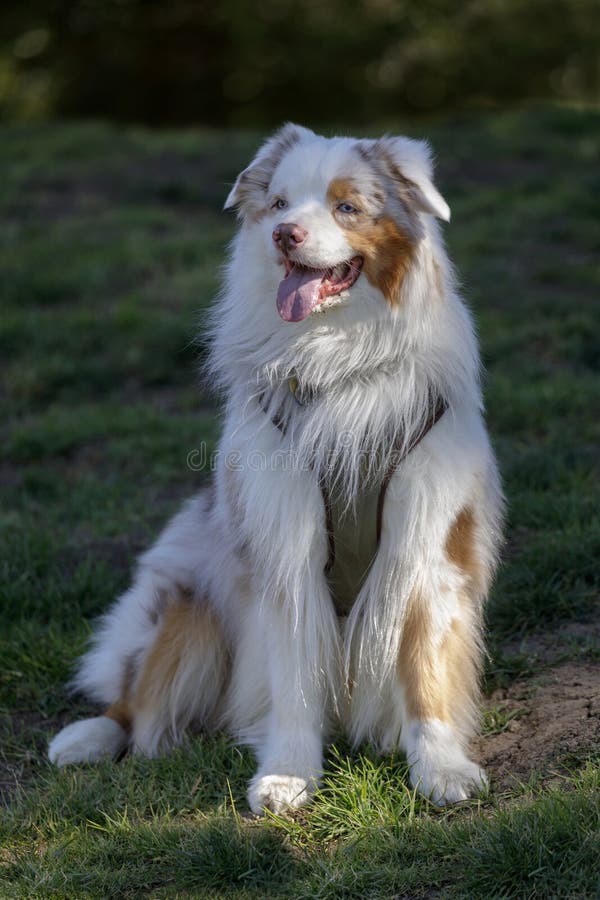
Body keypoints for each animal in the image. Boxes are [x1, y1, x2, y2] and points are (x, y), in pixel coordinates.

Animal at [50, 123, 502, 812]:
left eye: (346, 206)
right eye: (280, 203)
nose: (284, 235)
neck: (339, 357)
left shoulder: (429, 541)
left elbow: (425, 667)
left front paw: (441, 768)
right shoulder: (284, 541)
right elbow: (295, 675)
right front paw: (288, 774)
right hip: (189, 598)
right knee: (136, 697)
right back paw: (88, 738)